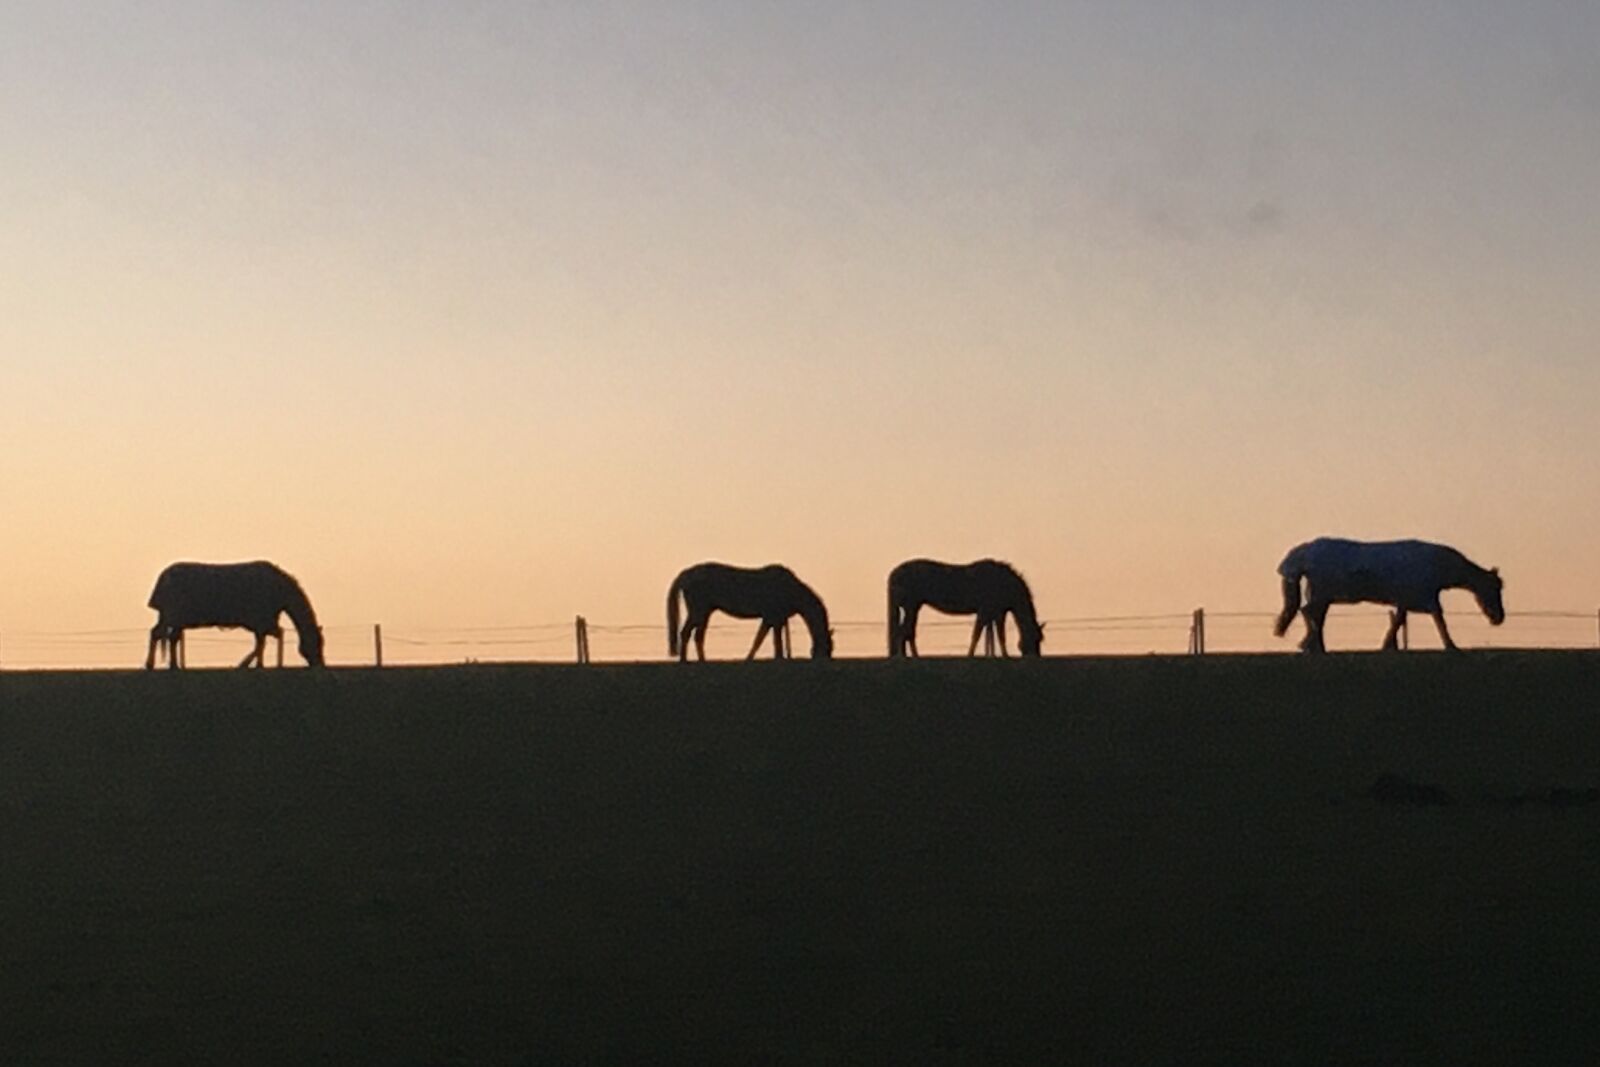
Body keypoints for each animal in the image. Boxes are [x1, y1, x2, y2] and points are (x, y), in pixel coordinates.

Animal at [145, 561, 325, 669]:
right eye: (316, 642)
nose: (320, 664)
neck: (281, 590)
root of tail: (162, 579)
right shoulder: (262, 621)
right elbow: (265, 641)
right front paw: (253, 664)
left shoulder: (263, 622)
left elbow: (263, 641)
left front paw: (255, 663)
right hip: (173, 616)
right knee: (160, 634)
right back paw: (152, 664)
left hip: (174, 619)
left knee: (168, 637)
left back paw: (172, 665)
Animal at [667, 562, 833, 661]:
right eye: (828, 646)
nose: (826, 659)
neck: (790, 588)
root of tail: (686, 574)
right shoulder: (773, 618)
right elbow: (766, 640)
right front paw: (776, 658)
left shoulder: (773, 619)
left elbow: (762, 639)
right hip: (698, 612)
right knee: (686, 633)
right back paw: (684, 661)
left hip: (704, 613)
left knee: (697, 636)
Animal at [887, 558, 1044, 658]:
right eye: (1036, 638)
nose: (1035, 656)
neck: (1004, 582)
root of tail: (894, 574)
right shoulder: (986, 612)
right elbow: (979, 634)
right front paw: (972, 655)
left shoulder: (996, 613)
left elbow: (993, 635)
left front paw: (995, 655)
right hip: (911, 607)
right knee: (905, 632)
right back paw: (911, 657)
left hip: (913, 608)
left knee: (906, 632)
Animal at [1274, 538, 1504, 653]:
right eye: (1494, 588)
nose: (1499, 618)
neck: (1435, 564)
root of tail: (1306, 551)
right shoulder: (1426, 598)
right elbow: (1440, 620)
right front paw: (1451, 646)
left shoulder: (1406, 600)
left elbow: (1399, 620)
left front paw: (1387, 645)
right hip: (1321, 594)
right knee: (1310, 613)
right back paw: (1313, 646)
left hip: (1321, 595)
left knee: (1312, 615)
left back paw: (1314, 646)